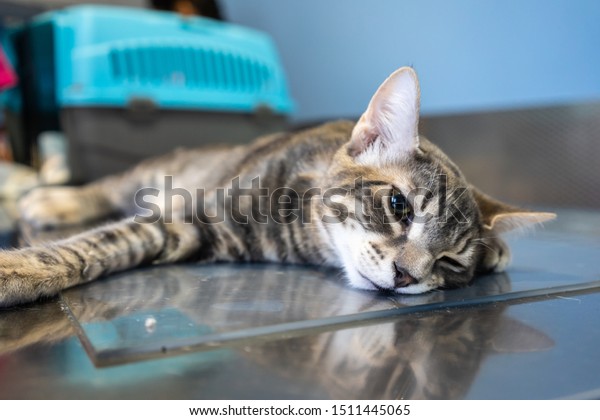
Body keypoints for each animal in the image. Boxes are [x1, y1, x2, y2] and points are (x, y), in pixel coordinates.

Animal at [0, 68, 552, 306]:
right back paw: (47, 197)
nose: (404, 277)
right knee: (108, 186)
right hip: (157, 173)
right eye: (399, 205)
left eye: (452, 261)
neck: (303, 236)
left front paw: (496, 251)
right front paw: (20, 268)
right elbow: (101, 242)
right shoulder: (191, 216)